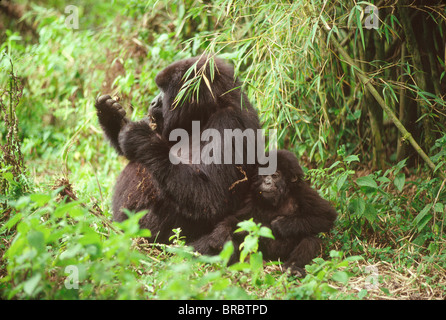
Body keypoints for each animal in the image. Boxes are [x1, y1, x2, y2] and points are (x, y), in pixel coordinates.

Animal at [95, 55, 260, 242]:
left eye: (164, 90)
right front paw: (110, 114)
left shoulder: (230, 123)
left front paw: (139, 136)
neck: (207, 111)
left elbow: (212, 199)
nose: (153, 102)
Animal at [192, 149, 338, 276]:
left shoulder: (303, 192)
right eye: (264, 174)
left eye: (275, 175)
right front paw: (220, 232)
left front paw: (281, 224)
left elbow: (326, 216)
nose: (267, 182)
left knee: (310, 239)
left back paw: (292, 267)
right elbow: (237, 219)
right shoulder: (251, 197)